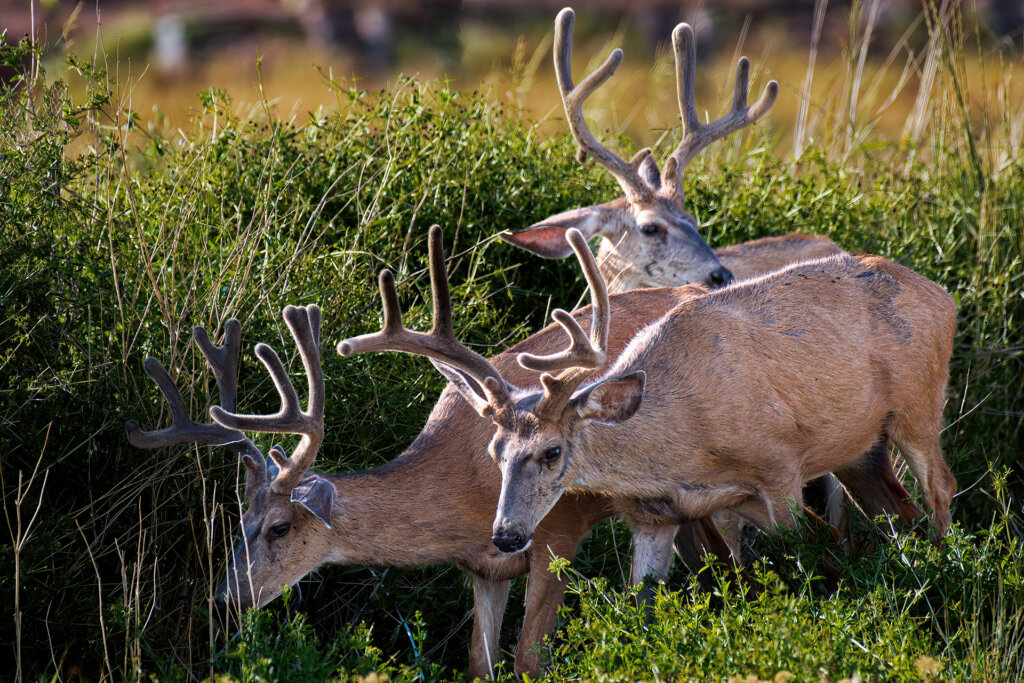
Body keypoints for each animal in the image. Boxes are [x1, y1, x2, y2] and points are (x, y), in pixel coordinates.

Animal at [339, 225, 954, 589]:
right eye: (494, 452)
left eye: (552, 451)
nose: (508, 536)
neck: (683, 445)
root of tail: (942, 292)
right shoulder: (654, 515)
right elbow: (641, 603)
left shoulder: (780, 465)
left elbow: (797, 558)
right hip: (860, 447)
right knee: (894, 510)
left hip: (919, 407)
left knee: (939, 489)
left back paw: (950, 567)